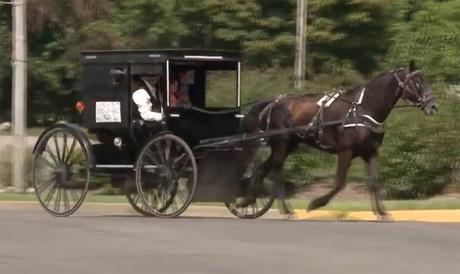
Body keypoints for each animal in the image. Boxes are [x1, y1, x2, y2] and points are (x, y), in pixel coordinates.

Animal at [241, 61, 438, 218]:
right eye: (416, 82)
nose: (433, 106)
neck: (363, 109)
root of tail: (273, 103)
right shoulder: (345, 151)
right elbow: (339, 183)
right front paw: (316, 203)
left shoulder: (371, 152)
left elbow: (374, 182)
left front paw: (382, 212)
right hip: (281, 143)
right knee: (276, 172)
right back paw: (286, 210)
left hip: (290, 144)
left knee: (263, 168)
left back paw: (249, 199)